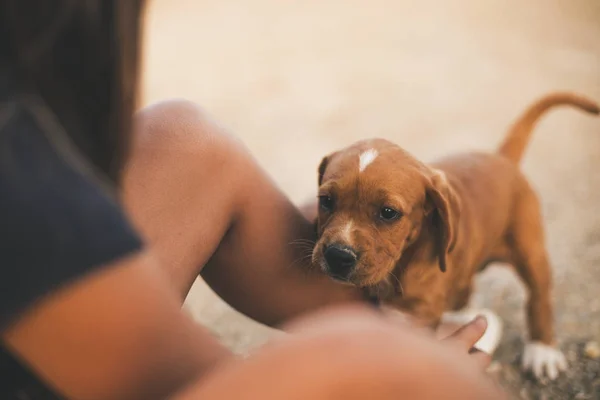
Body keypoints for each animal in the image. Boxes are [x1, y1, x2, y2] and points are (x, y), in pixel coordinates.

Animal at [312, 92, 600, 380]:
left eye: (388, 213)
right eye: (326, 201)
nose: (338, 256)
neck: (403, 261)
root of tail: (502, 159)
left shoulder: (417, 317)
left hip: (530, 250)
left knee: (539, 297)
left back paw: (543, 350)